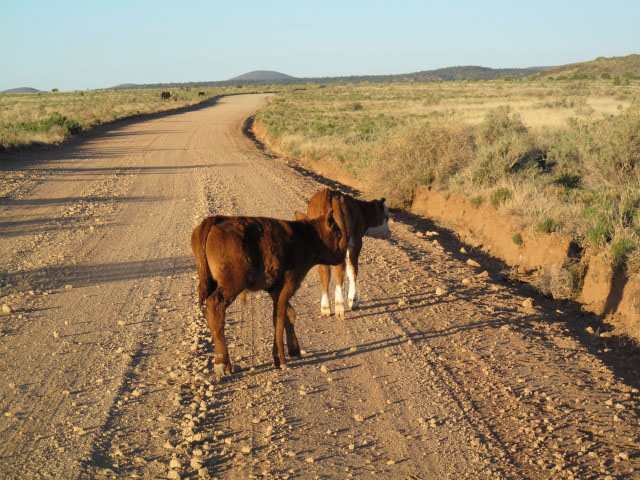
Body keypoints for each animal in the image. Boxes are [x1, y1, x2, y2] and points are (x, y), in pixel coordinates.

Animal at [191, 210, 344, 378]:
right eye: (338, 235)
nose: (342, 255)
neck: (303, 236)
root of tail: (217, 219)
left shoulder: (274, 290)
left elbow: (289, 314)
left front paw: (294, 349)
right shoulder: (286, 286)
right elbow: (278, 318)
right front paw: (281, 360)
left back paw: (227, 365)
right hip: (231, 285)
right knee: (215, 307)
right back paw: (221, 363)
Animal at [304, 189, 390, 320]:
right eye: (387, 217)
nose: (390, 233)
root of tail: (328, 193)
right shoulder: (356, 242)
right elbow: (352, 270)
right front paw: (353, 301)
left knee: (324, 270)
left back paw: (325, 307)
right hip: (342, 240)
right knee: (340, 268)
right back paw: (340, 308)